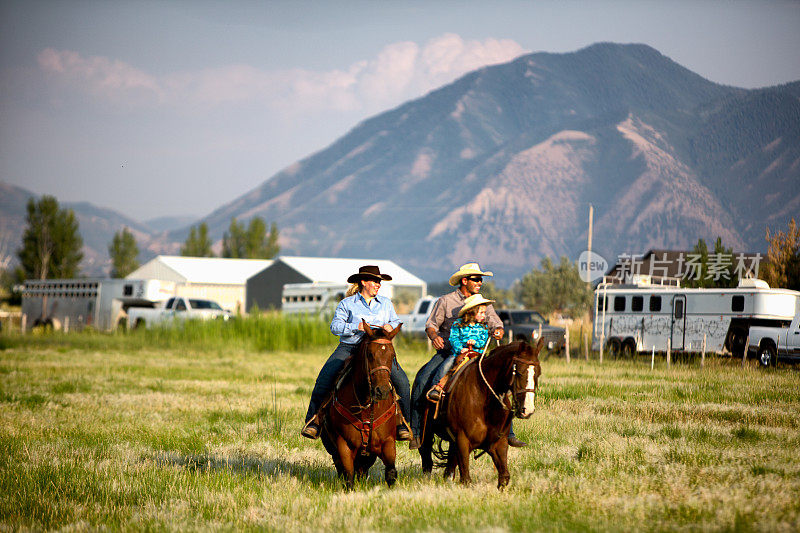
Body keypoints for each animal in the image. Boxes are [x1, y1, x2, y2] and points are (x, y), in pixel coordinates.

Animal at [320, 320, 404, 486]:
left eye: (392, 355)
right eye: (370, 354)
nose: (382, 391)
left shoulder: (388, 442)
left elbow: (391, 473)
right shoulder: (344, 445)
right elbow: (348, 477)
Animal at [418, 338, 544, 488]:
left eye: (538, 373)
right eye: (519, 372)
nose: (528, 410)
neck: (483, 396)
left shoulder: (498, 444)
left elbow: (504, 477)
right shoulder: (462, 441)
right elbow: (466, 479)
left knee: (449, 468)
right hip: (427, 433)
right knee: (426, 457)